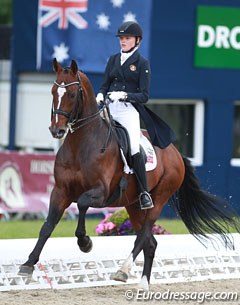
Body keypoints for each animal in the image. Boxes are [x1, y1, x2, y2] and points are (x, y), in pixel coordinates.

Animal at [18, 58, 240, 288]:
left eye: (71, 94)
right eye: (53, 91)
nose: (57, 131)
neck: (81, 145)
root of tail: (175, 151)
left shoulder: (100, 193)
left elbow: (81, 203)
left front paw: (85, 242)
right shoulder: (60, 191)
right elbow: (47, 226)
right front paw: (28, 265)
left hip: (158, 200)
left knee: (143, 235)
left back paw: (123, 271)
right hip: (133, 205)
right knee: (150, 242)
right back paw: (143, 284)